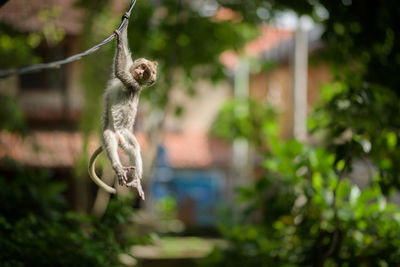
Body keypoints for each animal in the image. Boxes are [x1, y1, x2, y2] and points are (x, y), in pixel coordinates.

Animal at [88, 13, 157, 200]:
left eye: (146, 73)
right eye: (143, 67)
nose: (140, 72)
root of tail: (120, 136)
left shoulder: (132, 84)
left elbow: (119, 72)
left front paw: (118, 39)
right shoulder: (130, 73)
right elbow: (125, 57)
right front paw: (126, 21)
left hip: (124, 133)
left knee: (128, 145)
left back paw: (129, 175)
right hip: (120, 135)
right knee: (120, 143)